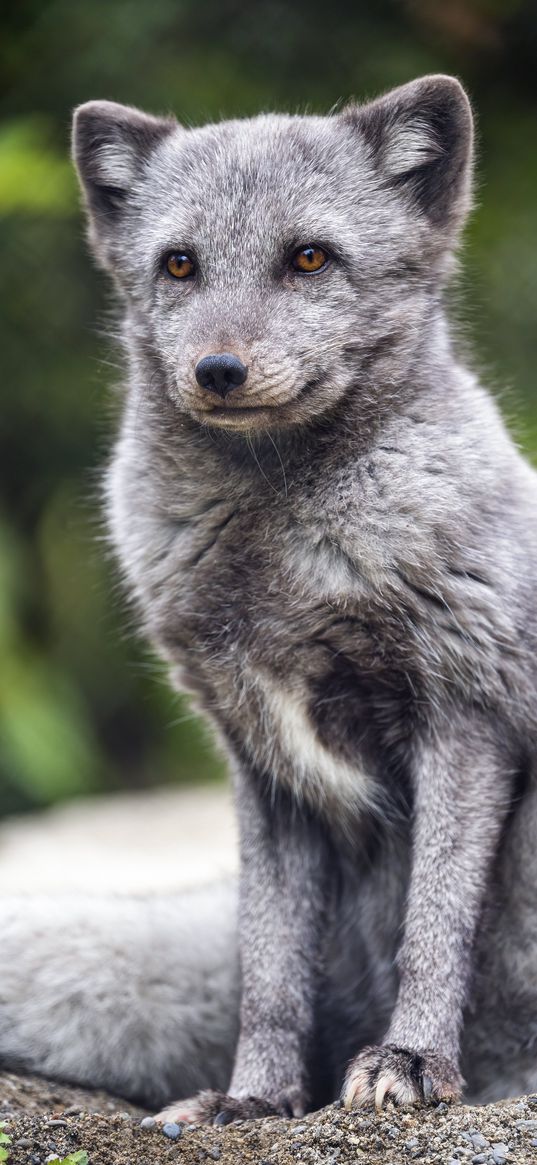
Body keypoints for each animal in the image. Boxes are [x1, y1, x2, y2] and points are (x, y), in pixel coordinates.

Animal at [1, 72, 535, 1118]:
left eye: (309, 258)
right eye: (178, 264)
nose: (217, 370)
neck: (284, 551)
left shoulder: (467, 719)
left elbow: (432, 924)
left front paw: (411, 1061)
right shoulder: (262, 763)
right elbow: (270, 960)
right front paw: (256, 1099)